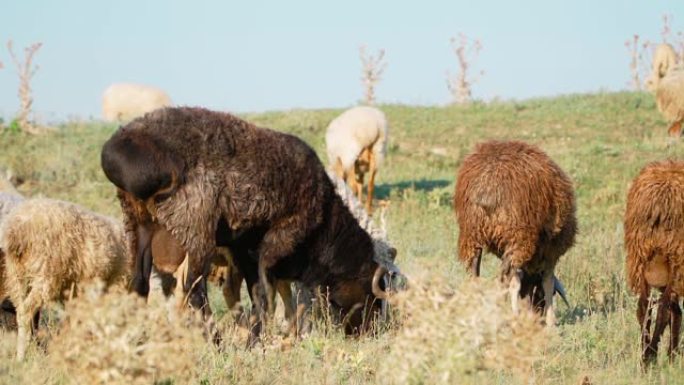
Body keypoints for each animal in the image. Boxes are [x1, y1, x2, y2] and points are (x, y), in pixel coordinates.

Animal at [0, 198, 130, 360]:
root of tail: (17, 228)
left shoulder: (77, 295)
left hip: (16, 276)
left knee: (20, 310)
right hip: (44, 274)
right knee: (26, 311)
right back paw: (21, 356)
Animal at [454, 140, 576, 322]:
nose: (537, 316)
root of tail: (486, 186)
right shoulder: (551, 252)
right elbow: (547, 282)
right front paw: (551, 321)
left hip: (471, 234)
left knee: (475, 274)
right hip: (518, 237)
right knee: (505, 279)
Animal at [624, 158, 684, 364]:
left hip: (640, 259)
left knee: (644, 306)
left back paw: (646, 356)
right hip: (676, 259)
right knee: (665, 309)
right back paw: (652, 354)